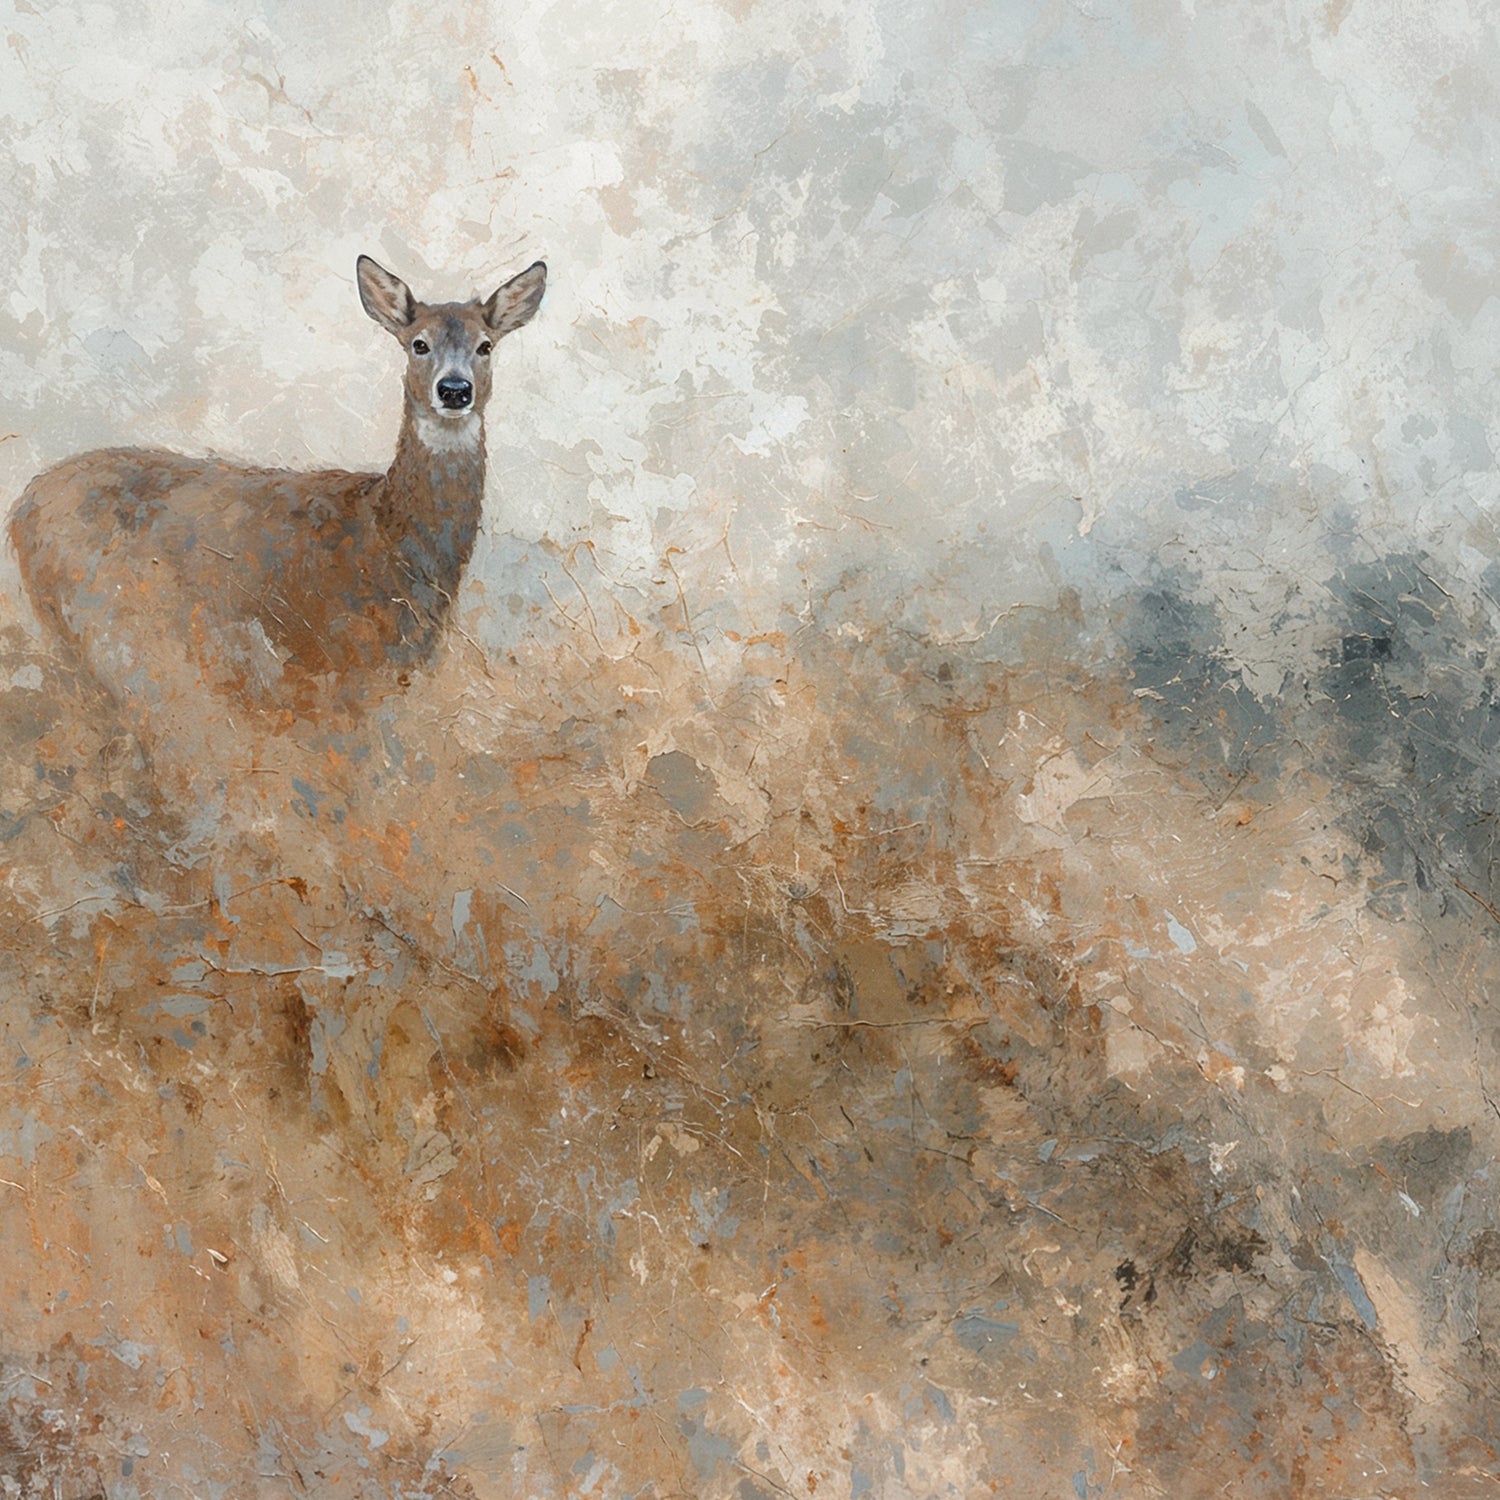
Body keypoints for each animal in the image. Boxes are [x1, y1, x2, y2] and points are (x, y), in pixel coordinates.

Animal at [9, 255, 547, 757]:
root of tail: (22, 505)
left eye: (485, 345)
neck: (388, 540)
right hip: (107, 624)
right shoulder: (336, 659)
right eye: (419, 343)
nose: (454, 390)